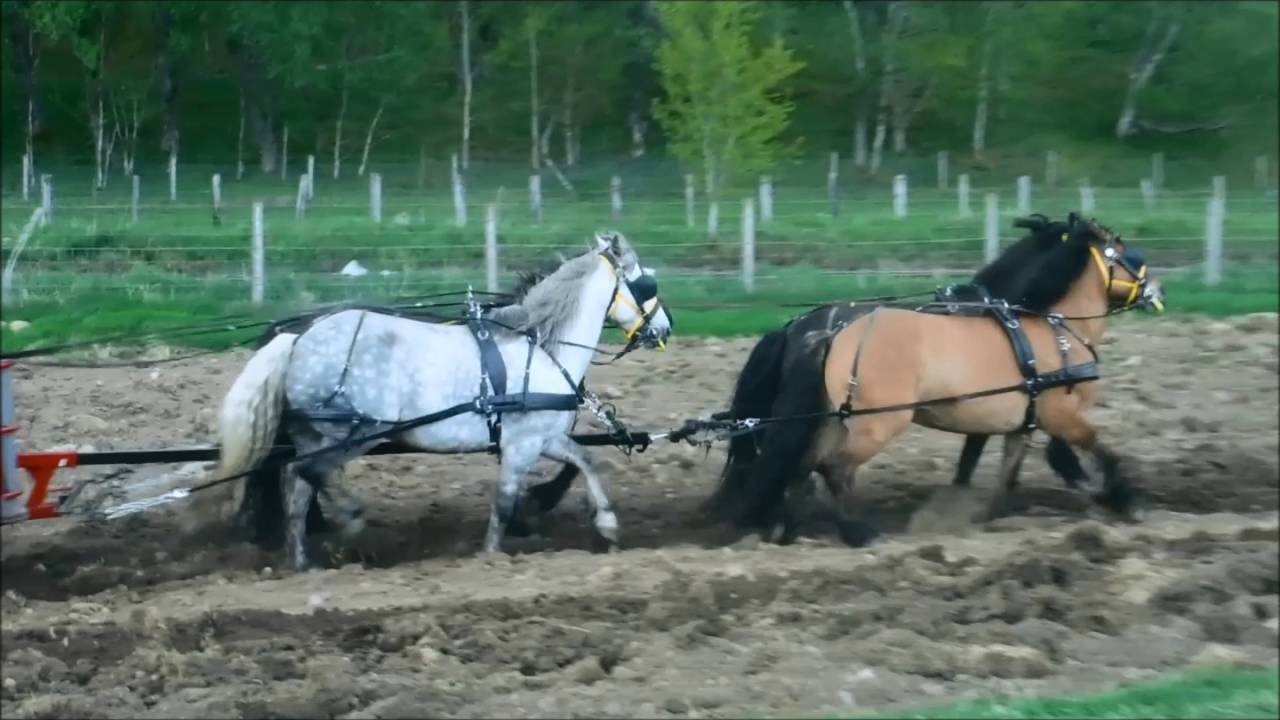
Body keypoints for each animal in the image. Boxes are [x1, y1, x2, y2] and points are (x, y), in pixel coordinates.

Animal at [721, 212, 1162, 543]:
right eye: (1126, 251)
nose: (1156, 291)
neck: (1050, 327)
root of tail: (829, 333)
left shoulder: (1020, 422)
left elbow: (1004, 474)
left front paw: (980, 516)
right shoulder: (1059, 414)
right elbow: (1099, 447)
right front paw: (1123, 498)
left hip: (834, 418)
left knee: (804, 466)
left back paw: (784, 529)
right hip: (879, 422)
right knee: (835, 469)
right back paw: (859, 533)